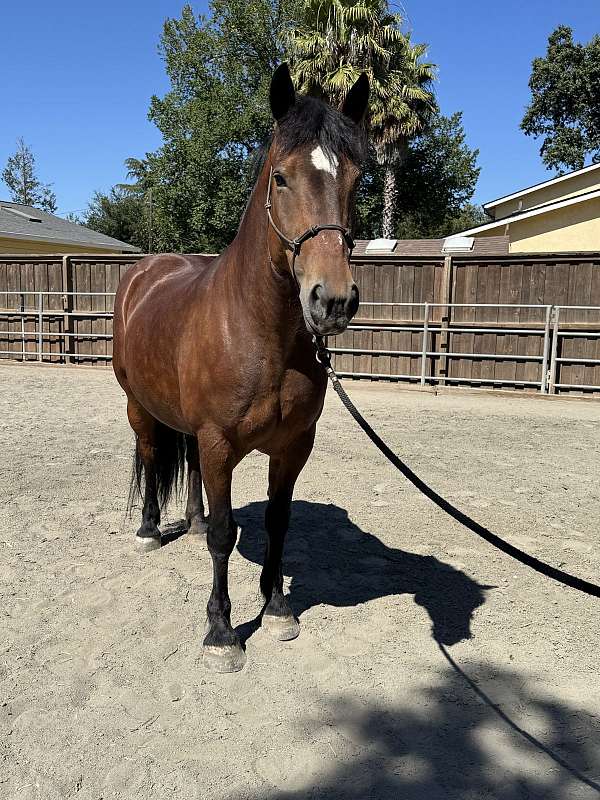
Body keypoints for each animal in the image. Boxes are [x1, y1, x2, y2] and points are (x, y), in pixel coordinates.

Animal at [112, 63, 370, 673]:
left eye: (356, 180)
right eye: (280, 178)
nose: (333, 300)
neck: (258, 333)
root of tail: (144, 272)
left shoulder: (292, 446)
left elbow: (278, 520)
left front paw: (276, 608)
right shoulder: (218, 442)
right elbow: (226, 536)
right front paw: (222, 631)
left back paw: (193, 519)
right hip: (139, 407)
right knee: (151, 455)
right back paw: (150, 529)